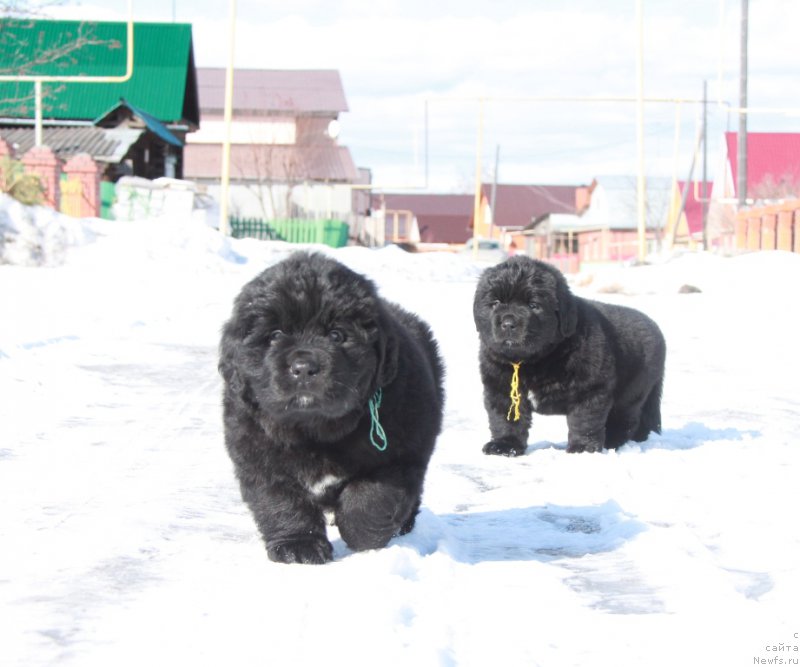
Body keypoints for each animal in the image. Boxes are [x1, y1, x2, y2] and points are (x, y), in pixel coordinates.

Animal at [219, 253, 444, 568]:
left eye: (337, 335)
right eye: (275, 335)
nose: (303, 367)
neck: (316, 430)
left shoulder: (400, 455)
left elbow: (369, 499)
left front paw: (365, 538)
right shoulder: (259, 455)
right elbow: (281, 502)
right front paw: (298, 548)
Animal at [472, 254, 664, 454]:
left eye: (534, 305)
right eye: (495, 303)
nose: (508, 323)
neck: (532, 361)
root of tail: (656, 329)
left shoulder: (589, 389)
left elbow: (584, 421)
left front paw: (582, 449)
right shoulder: (501, 387)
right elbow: (506, 420)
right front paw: (504, 446)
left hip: (631, 393)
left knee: (625, 420)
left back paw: (611, 442)